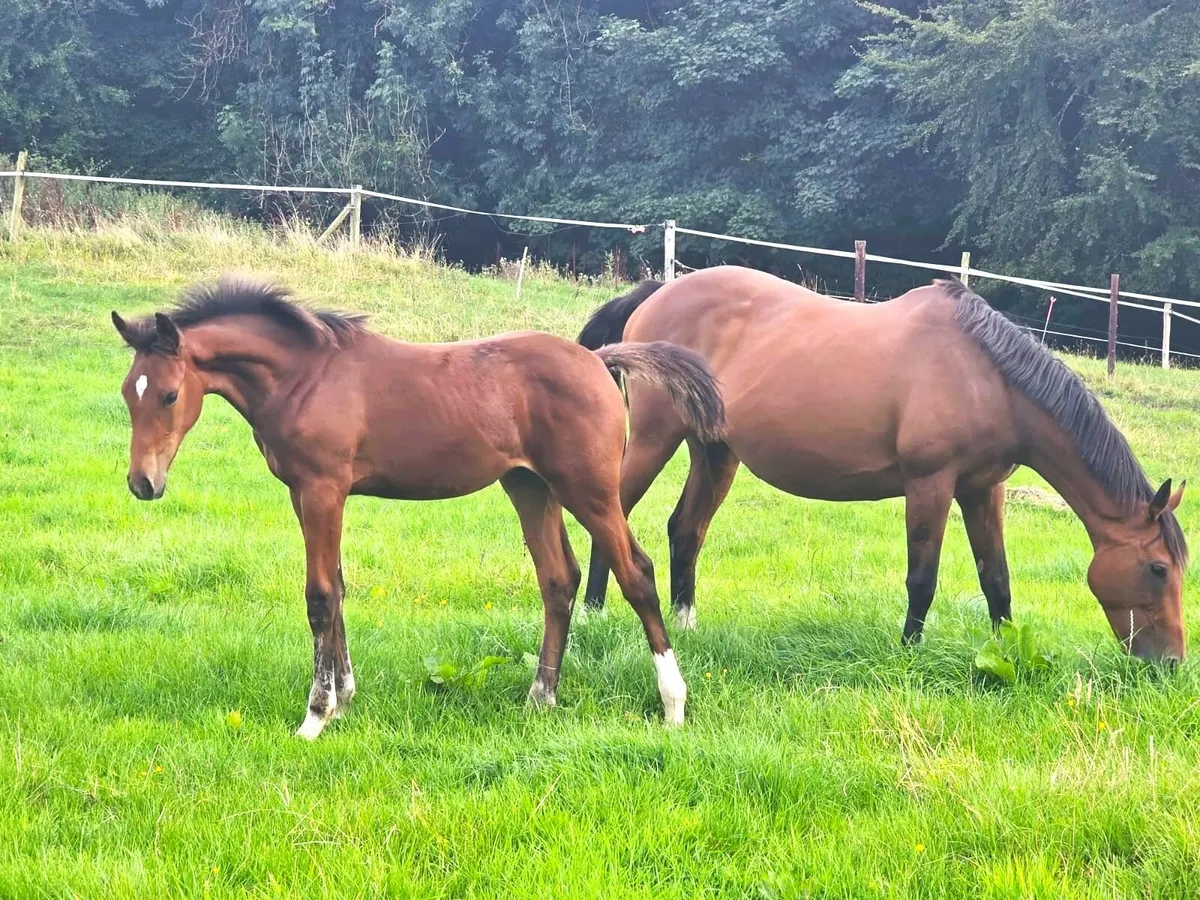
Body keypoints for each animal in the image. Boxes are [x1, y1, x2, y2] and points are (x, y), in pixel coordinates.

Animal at [111, 276, 725, 739]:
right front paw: (345, 698)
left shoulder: (322, 489)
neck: (306, 376)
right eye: (126, 392)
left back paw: (673, 705)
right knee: (558, 579)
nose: (143, 484)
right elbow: (338, 589)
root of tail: (599, 359)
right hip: (529, 486)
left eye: (169, 394)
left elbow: (320, 596)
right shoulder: (305, 493)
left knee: (635, 572)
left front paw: (315, 716)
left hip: (589, 490)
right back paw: (541, 697)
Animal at [578, 266, 1189, 663]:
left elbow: (996, 577)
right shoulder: (930, 485)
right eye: (1159, 568)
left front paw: (1005, 648)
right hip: (655, 439)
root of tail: (659, 293)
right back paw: (592, 614)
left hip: (715, 452)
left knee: (686, 528)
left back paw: (686, 622)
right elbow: (923, 577)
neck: (986, 377)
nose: (1171, 664)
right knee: (612, 517)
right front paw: (909, 652)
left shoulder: (982, 490)